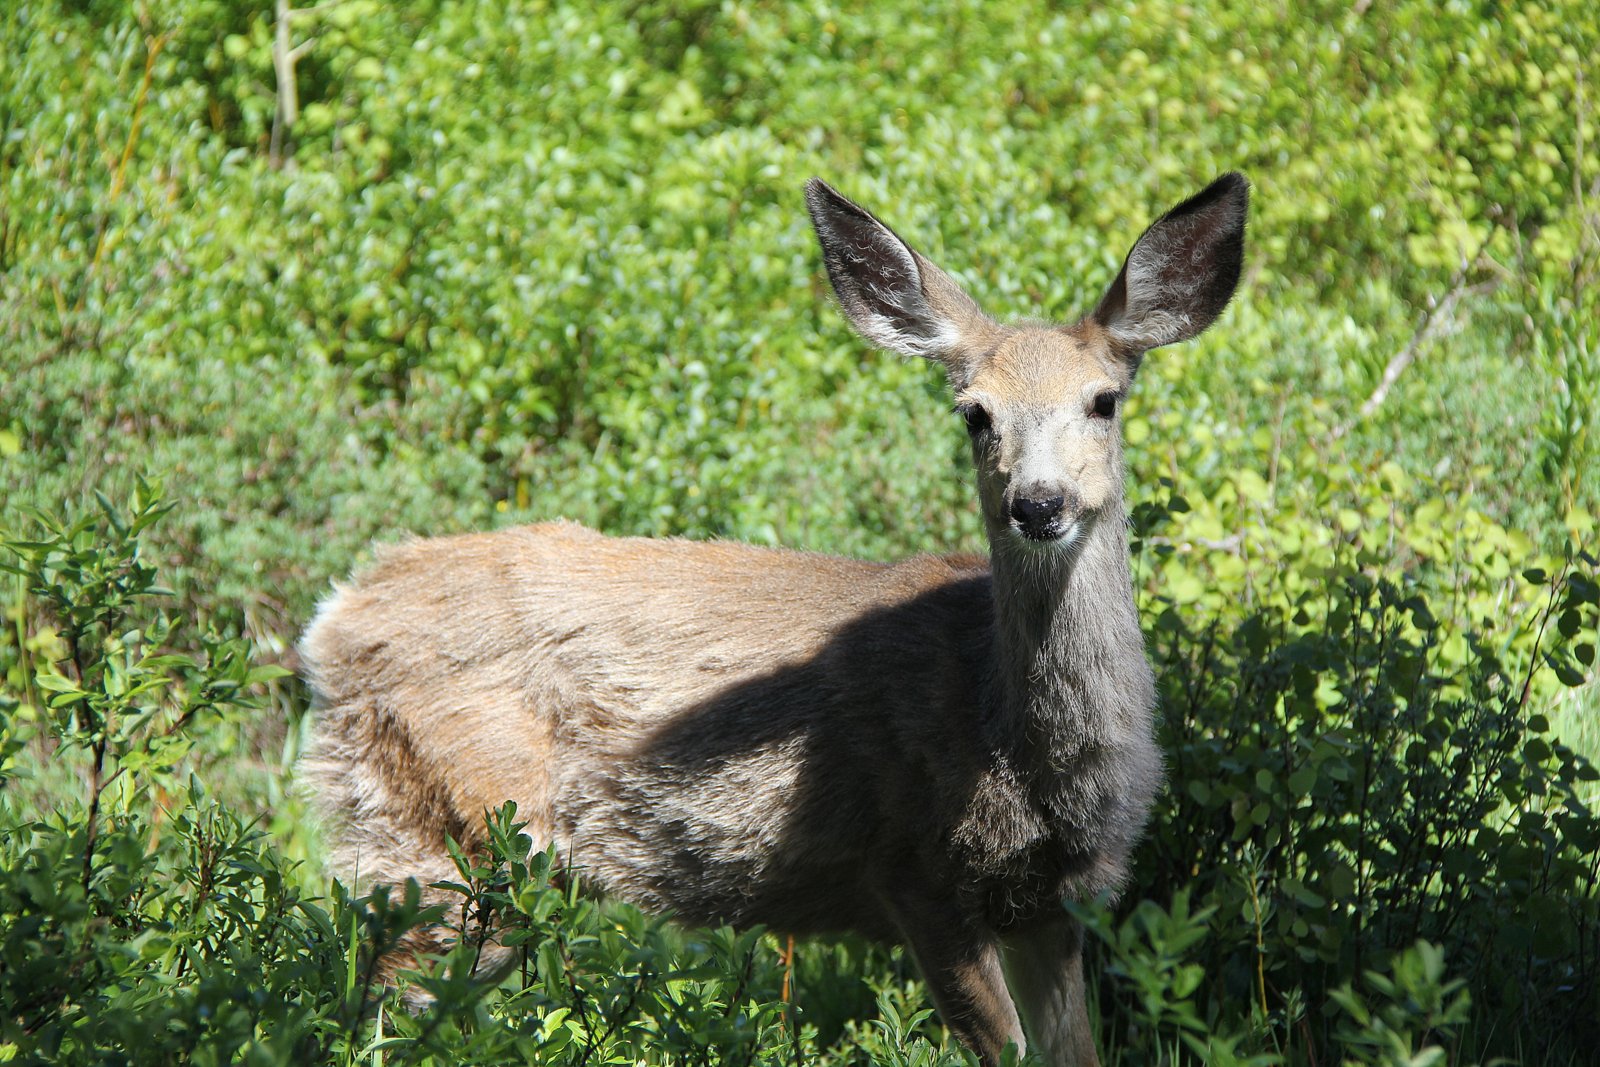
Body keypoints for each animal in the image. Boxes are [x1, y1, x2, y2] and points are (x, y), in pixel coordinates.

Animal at [300, 171, 1248, 1062]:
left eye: (1103, 400)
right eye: (975, 413)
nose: (1038, 503)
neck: (1007, 730)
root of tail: (332, 624)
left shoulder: (1053, 902)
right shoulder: (917, 871)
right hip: (451, 837)